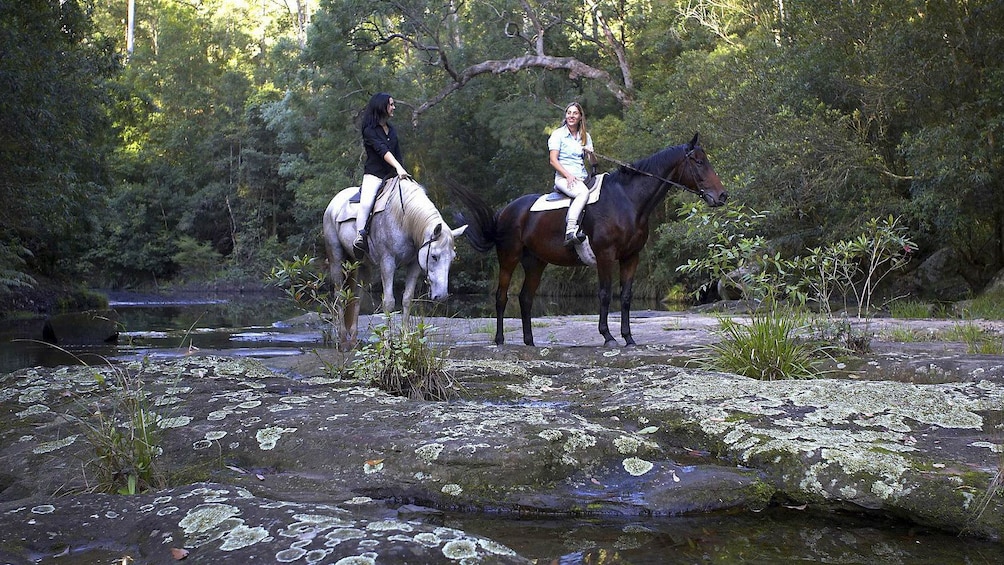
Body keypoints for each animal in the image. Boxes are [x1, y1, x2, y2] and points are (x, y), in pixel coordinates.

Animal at [319, 178, 467, 351]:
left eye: (452, 258)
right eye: (434, 256)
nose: (441, 295)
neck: (405, 220)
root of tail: (333, 204)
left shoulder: (414, 265)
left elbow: (407, 299)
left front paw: (405, 340)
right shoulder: (387, 262)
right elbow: (389, 302)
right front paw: (386, 344)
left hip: (362, 266)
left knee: (356, 298)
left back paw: (353, 341)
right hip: (336, 259)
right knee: (339, 296)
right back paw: (343, 341)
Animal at [457, 134, 730, 347]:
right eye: (698, 162)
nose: (722, 195)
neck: (627, 201)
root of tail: (506, 211)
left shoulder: (631, 257)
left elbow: (626, 296)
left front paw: (629, 338)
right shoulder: (605, 256)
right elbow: (605, 294)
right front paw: (608, 336)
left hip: (535, 262)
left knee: (525, 298)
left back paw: (530, 342)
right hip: (509, 256)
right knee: (502, 296)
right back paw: (500, 340)